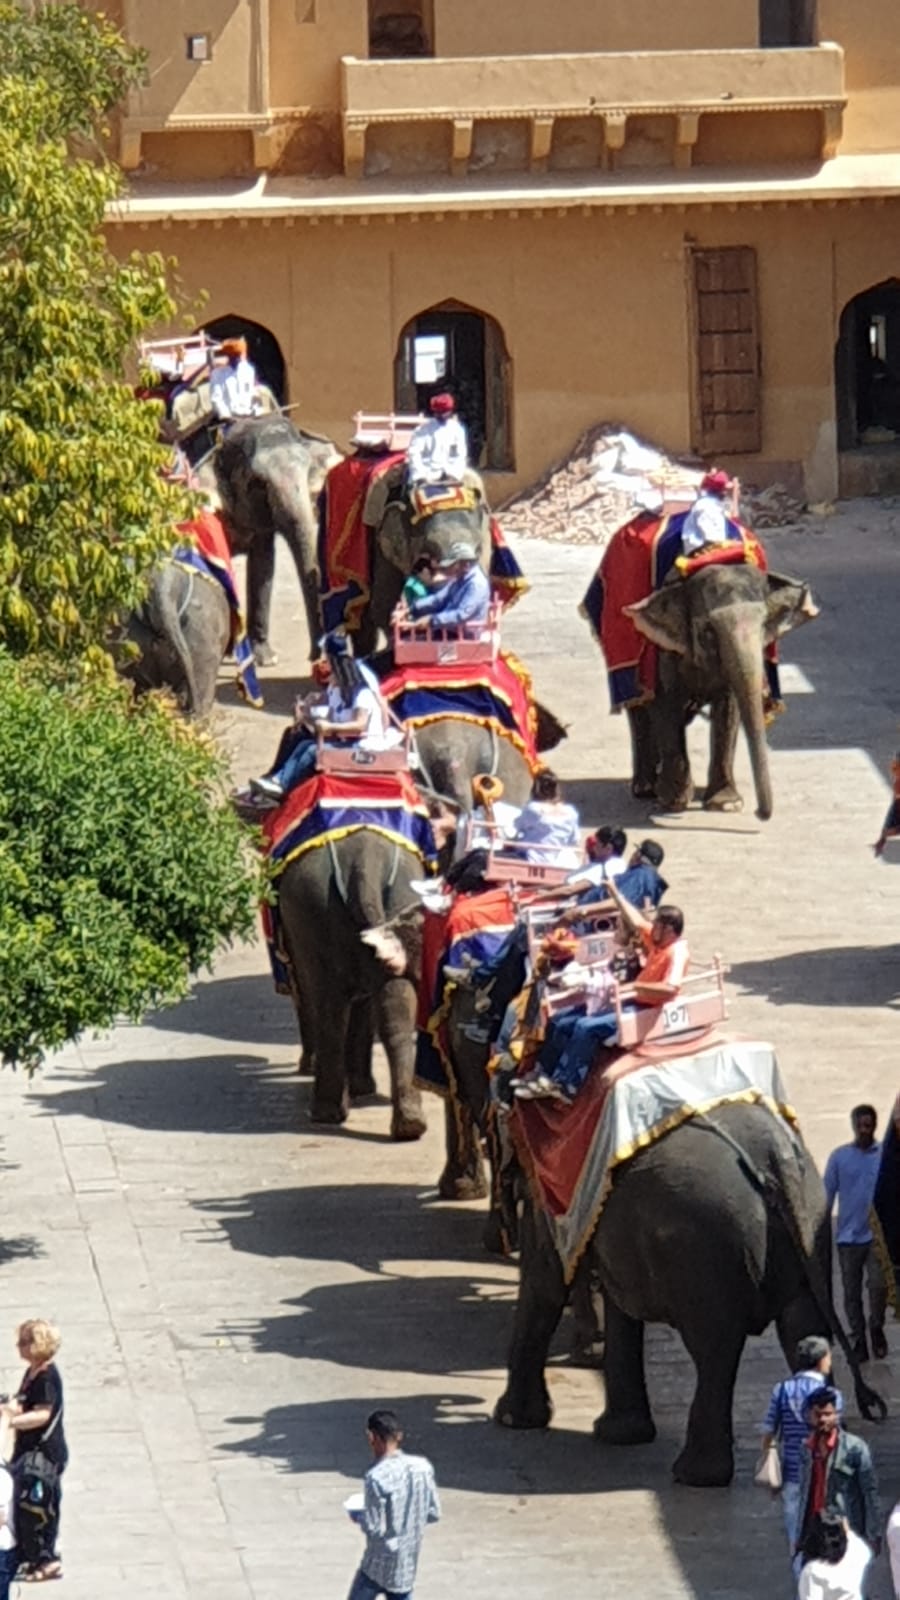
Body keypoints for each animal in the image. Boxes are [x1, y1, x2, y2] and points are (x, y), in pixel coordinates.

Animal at [276, 827, 429, 1139]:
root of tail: (364, 862)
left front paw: (309, 1068)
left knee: (326, 1006)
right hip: (398, 904)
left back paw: (326, 1112)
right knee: (396, 1008)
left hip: (312, 913)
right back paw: (409, 1123)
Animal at [614, 562, 817, 820]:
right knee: (640, 711)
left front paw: (726, 804)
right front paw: (673, 802)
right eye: (708, 630)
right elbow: (666, 704)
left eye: (764, 625)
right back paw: (647, 788)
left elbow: (728, 709)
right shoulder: (663, 649)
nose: (758, 813)